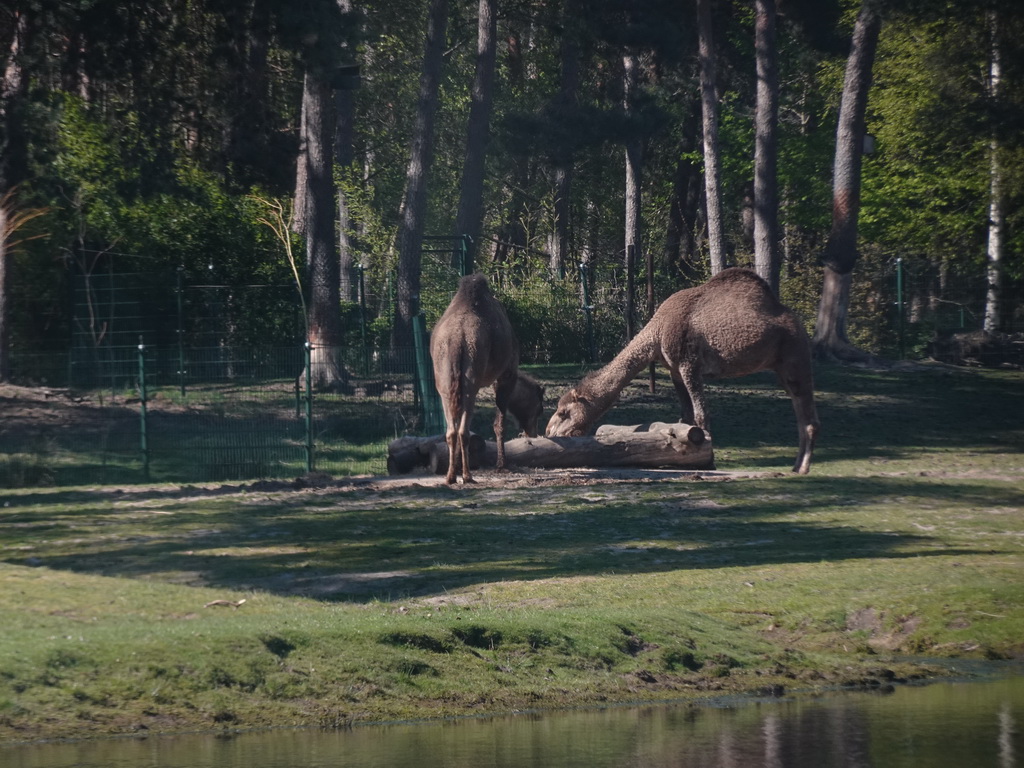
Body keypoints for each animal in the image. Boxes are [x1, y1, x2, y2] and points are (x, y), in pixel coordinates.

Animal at [432, 274, 544, 483]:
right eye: (539, 409)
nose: (533, 434)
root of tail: (458, 338)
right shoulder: (506, 374)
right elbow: (499, 424)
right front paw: (502, 465)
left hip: (444, 381)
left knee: (451, 430)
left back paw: (451, 476)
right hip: (471, 382)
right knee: (463, 430)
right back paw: (467, 475)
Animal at [548, 270, 819, 475]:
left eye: (564, 412)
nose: (550, 432)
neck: (657, 332)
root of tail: (799, 324)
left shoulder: (690, 364)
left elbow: (701, 414)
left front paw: (709, 462)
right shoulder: (675, 370)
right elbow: (686, 416)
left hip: (796, 356)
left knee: (807, 414)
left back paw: (803, 468)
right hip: (781, 366)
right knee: (800, 411)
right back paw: (796, 466)